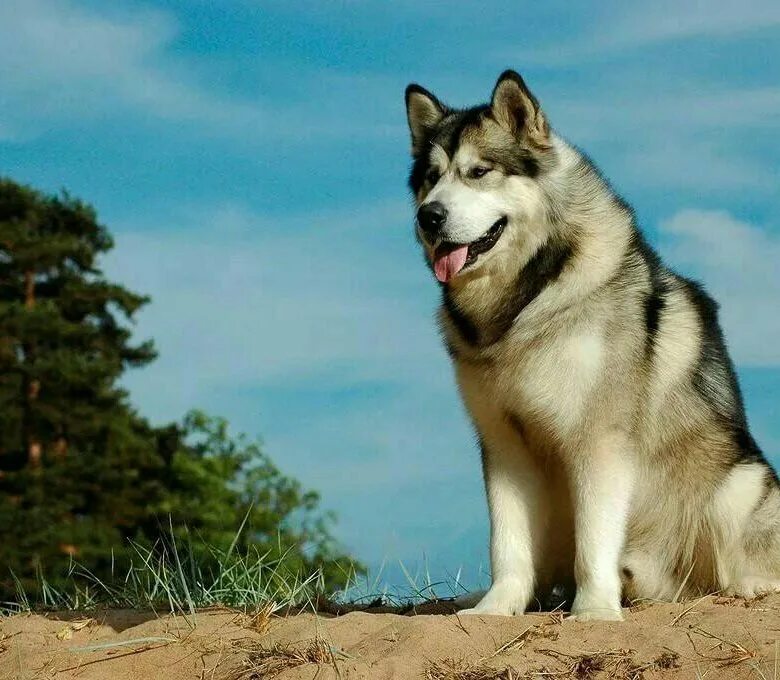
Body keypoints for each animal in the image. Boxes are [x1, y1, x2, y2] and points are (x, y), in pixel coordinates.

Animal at [406, 71, 780, 620]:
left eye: (478, 172)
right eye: (431, 178)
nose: (429, 217)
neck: (526, 300)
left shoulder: (599, 439)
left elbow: (595, 538)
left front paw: (597, 611)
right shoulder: (503, 441)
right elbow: (508, 543)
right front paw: (497, 607)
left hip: (738, 484)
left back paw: (745, 586)